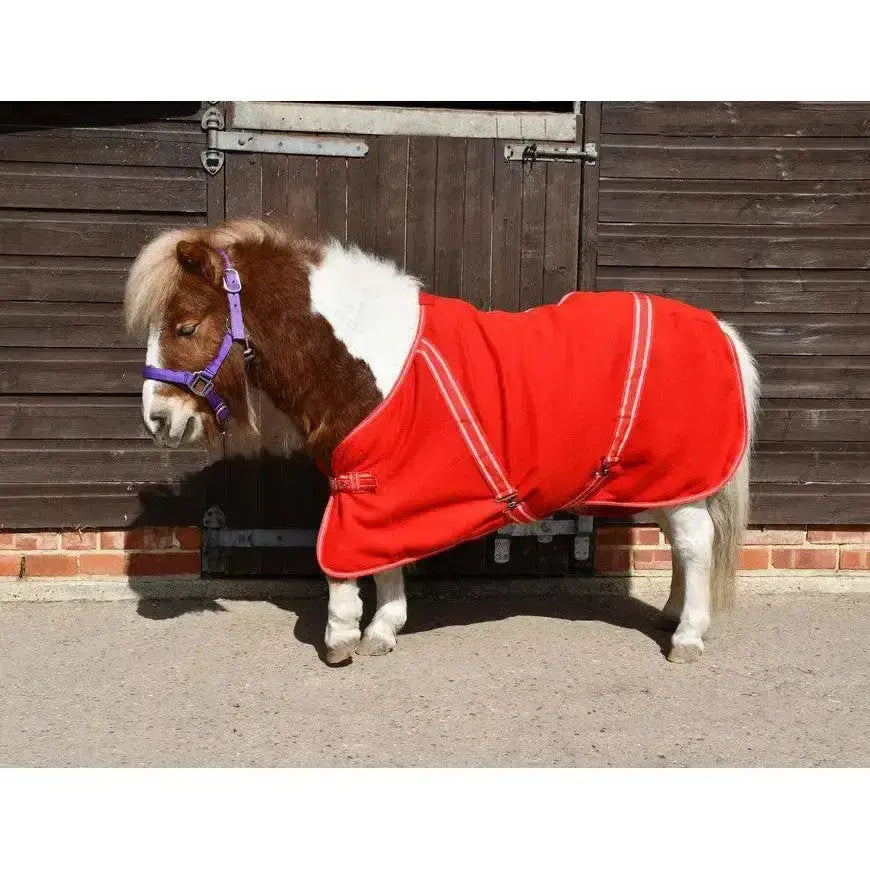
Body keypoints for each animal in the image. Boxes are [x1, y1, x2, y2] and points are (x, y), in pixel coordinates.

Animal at [124, 218, 759, 665]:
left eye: (186, 327)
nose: (157, 420)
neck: (368, 354)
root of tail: (718, 329)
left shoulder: (364, 484)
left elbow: (342, 561)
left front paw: (341, 638)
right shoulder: (379, 485)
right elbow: (383, 555)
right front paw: (382, 630)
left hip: (678, 478)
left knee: (696, 544)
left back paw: (688, 638)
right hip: (668, 482)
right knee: (684, 546)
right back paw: (672, 615)